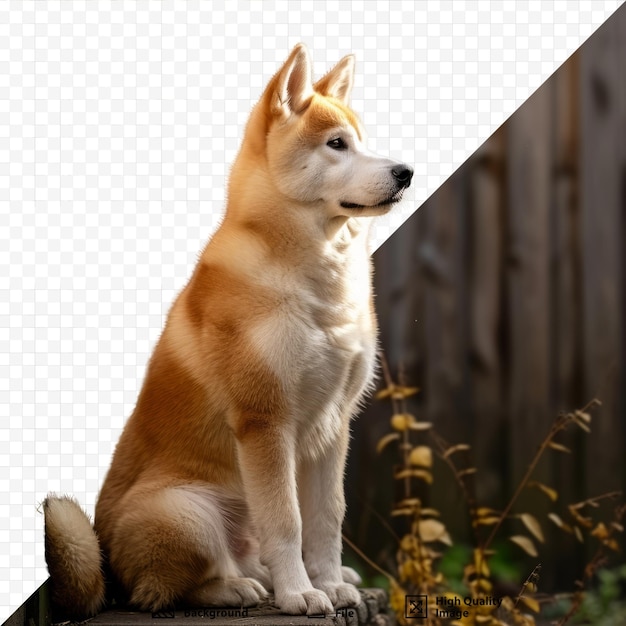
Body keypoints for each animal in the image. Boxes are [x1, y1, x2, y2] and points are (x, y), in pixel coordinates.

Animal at [45, 42, 414, 616]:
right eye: (337, 144)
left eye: (363, 140)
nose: (406, 172)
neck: (317, 279)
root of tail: (108, 567)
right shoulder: (265, 421)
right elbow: (287, 521)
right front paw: (299, 594)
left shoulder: (334, 426)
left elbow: (327, 518)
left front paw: (329, 583)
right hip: (186, 513)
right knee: (164, 591)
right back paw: (239, 586)